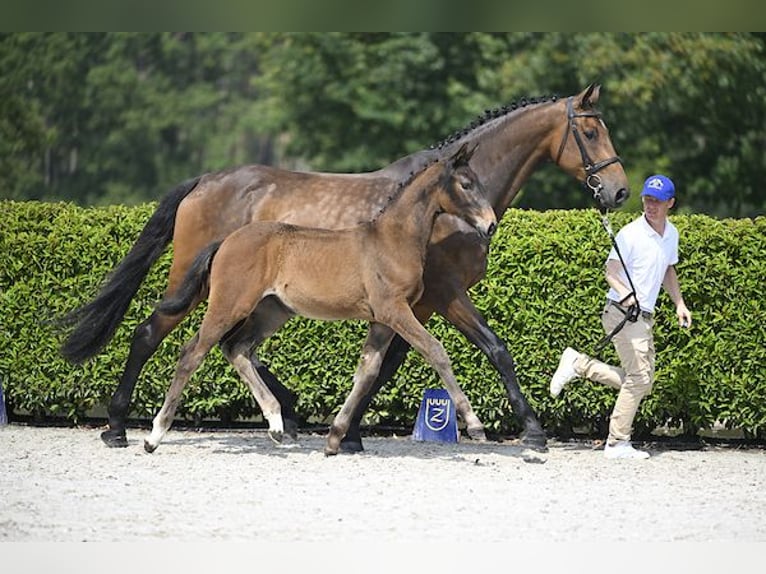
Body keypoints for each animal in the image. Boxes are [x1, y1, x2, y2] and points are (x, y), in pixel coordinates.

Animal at [146, 143, 498, 454]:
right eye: (466, 184)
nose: (491, 224)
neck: (391, 240)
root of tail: (226, 241)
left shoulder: (382, 320)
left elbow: (367, 371)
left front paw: (335, 439)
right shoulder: (395, 310)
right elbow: (436, 351)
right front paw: (475, 424)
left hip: (271, 311)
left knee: (237, 348)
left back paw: (276, 425)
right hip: (229, 305)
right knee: (192, 353)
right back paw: (154, 436)